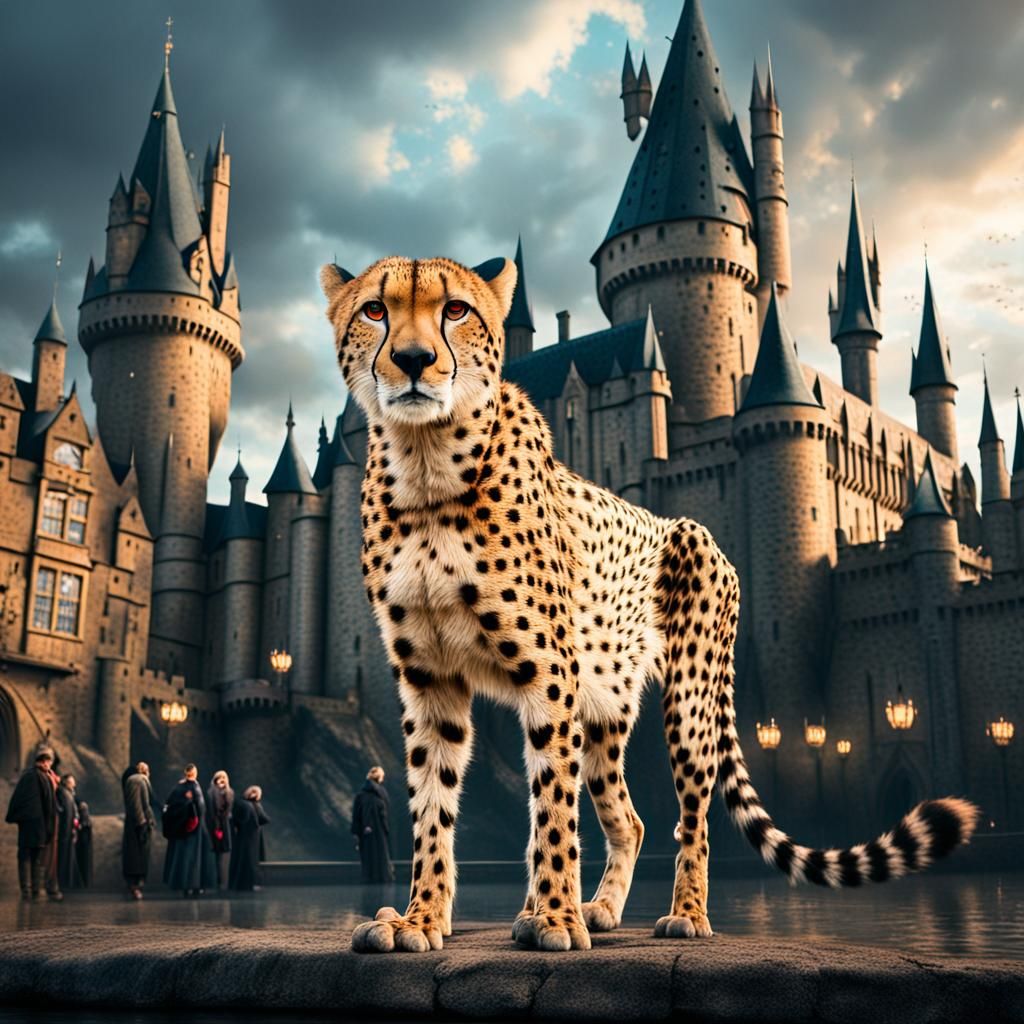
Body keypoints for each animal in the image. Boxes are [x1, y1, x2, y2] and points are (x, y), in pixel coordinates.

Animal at [320, 254, 980, 954]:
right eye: (374, 310)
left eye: (456, 310)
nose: (414, 360)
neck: (426, 474)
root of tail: (712, 542)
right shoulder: (431, 682)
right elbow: (433, 808)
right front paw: (421, 918)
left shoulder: (545, 676)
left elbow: (552, 812)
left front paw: (556, 920)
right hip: (603, 714)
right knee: (628, 819)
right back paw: (591, 909)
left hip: (686, 707)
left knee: (690, 819)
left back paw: (677, 913)